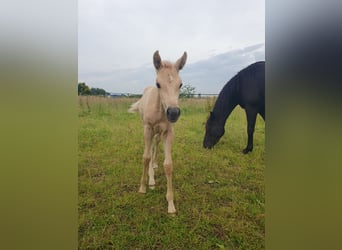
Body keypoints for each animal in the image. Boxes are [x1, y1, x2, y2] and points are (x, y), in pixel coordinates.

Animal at [128, 50, 187, 213]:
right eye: (158, 84)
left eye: (180, 84)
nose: (173, 113)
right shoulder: (148, 128)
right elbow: (145, 157)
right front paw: (142, 187)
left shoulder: (168, 132)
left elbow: (168, 165)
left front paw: (171, 204)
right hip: (148, 129)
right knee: (149, 150)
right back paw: (151, 180)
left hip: (158, 132)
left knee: (155, 144)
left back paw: (154, 168)